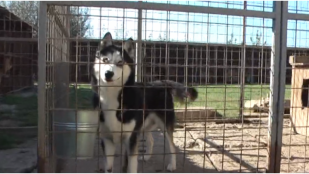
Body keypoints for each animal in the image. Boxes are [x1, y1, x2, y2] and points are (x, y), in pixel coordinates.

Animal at [91, 32, 197, 172]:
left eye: (120, 62)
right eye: (105, 60)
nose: (108, 73)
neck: (113, 97)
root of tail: (162, 82)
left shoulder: (130, 138)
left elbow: (131, 167)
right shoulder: (107, 139)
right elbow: (108, 168)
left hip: (164, 124)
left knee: (172, 146)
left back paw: (172, 165)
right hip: (145, 124)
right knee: (151, 140)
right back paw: (146, 157)